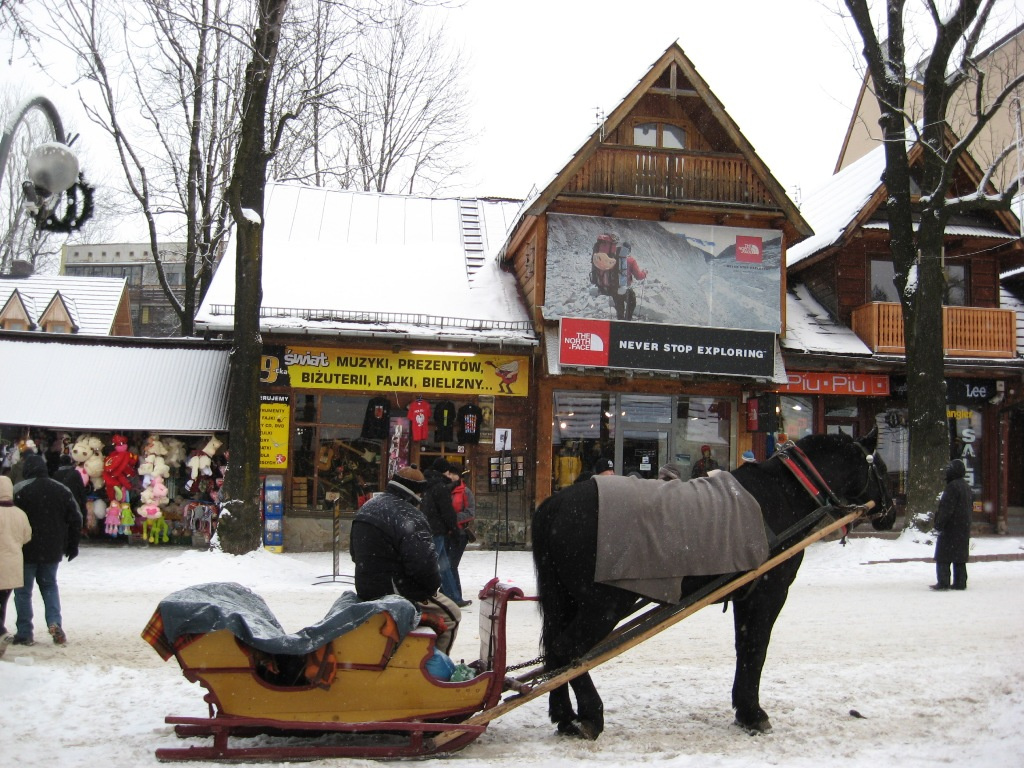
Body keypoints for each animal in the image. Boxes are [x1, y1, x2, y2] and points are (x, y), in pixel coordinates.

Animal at [532, 434, 892, 741]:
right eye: (883, 469)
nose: (891, 512)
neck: (784, 492)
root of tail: (554, 504)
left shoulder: (746, 594)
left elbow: (744, 647)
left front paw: (744, 709)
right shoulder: (769, 592)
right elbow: (756, 650)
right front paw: (753, 713)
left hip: (568, 601)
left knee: (554, 651)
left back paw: (564, 716)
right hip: (603, 605)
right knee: (568, 650)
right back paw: (591, 715)